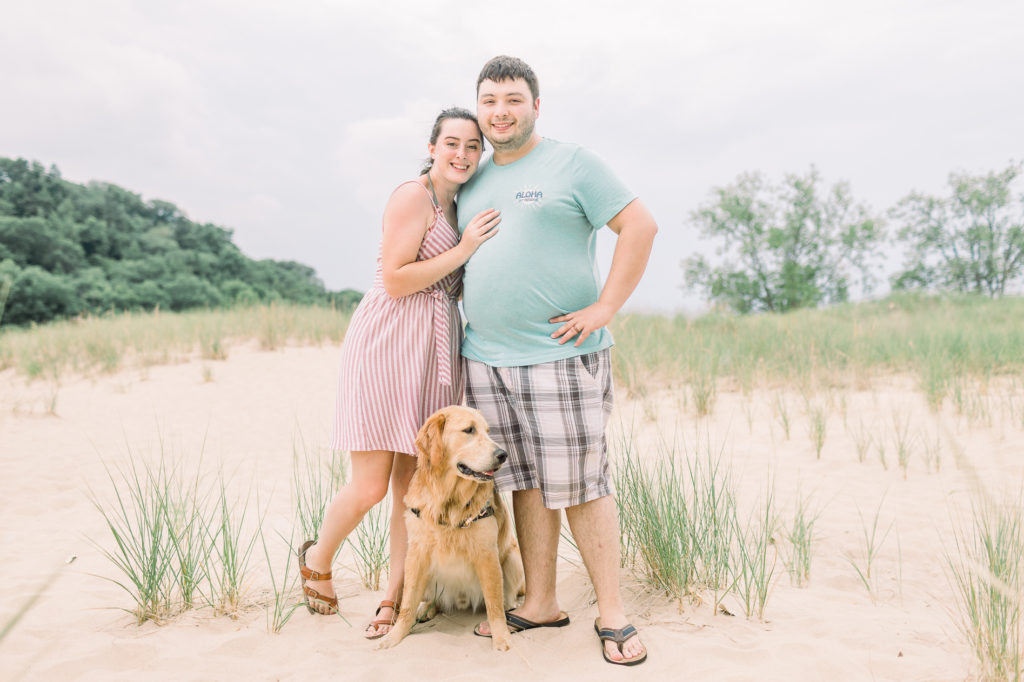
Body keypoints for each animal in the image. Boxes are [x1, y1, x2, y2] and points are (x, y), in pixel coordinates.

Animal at [378, 403, 524, 647]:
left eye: (488, 431)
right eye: (469, 430)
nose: (503, 454)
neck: (450, 500)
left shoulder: (487, 554)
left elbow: (494, 605)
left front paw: (501, 638)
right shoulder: (416, 554)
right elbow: (407, 603)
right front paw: (394, 635)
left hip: (512, 557)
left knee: (506, 597)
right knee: (430, 599)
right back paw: (426, 608)